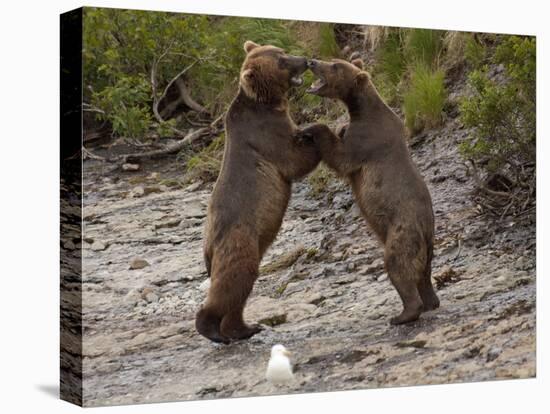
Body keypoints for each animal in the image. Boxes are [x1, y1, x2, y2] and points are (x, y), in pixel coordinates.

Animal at [196, 41, 322, 342]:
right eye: (282, 61)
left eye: (282, 51)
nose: (305, 60)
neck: (269, 103)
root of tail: (207, 247)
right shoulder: (265, 134)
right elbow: (294, 160)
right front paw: (316, 131)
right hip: (238, 239)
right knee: (234, 280)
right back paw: (212, 329)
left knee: (240, 291)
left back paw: (245, 328)